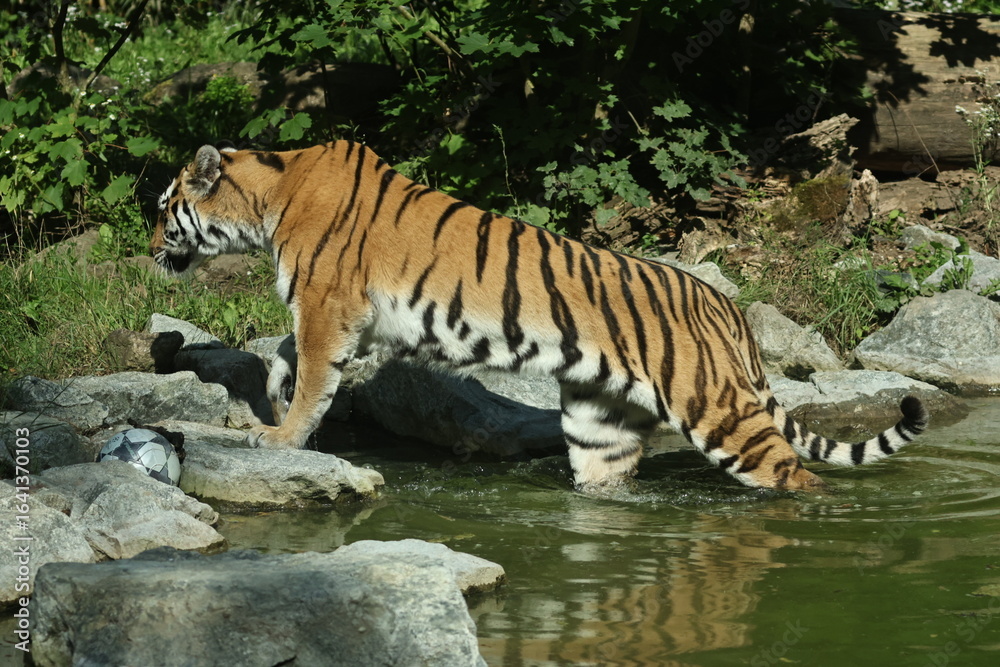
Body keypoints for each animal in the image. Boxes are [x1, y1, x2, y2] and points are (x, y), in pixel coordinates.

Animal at [150, 141, 928, 490]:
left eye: (163, 207)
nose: (151, 244)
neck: (268, 199)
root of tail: (723, 301)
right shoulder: (354, 318)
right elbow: (291, 354)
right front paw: (275, 391)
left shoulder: (328, 305)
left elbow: (314, 375)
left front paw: (281, 437)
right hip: (598, 424)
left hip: (717, 409)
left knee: (794, 475)